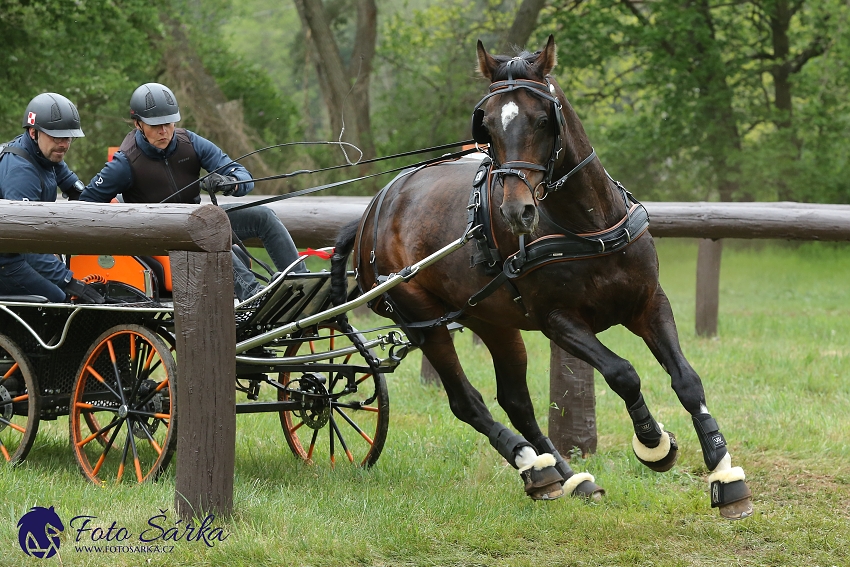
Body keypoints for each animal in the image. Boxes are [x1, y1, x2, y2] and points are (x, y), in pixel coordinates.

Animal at [330, 33, 748, 516]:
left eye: (542, 119)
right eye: (488, 126)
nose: (516, 211)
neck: (585, 226)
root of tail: (372, 212)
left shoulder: (648, 303)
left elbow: (687, 380)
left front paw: (724, 473)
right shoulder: (559, 321)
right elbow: (622, 373)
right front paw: (654, 444)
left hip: (490, 320)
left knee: (517, 402)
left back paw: (564, 476)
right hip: (423, 320)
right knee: (466, 401)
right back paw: (530, 463)